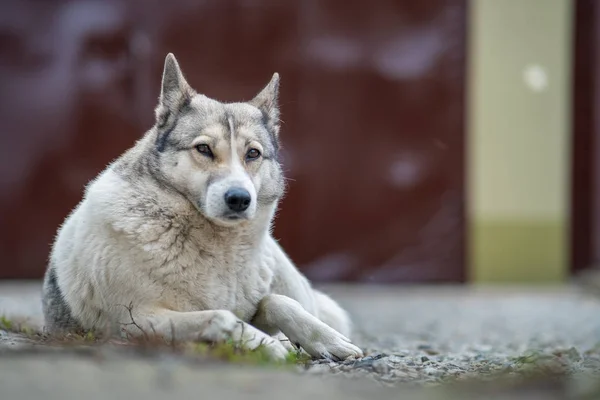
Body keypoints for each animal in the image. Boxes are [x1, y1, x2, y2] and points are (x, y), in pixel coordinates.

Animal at [42, 51, 364, 360]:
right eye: (204, 149)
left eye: (253, 153)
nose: (239, 199)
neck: (220, 248)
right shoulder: (137, 322)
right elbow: (220, 317)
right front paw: (265, 344)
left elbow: (277, 302)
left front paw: (326, 340)